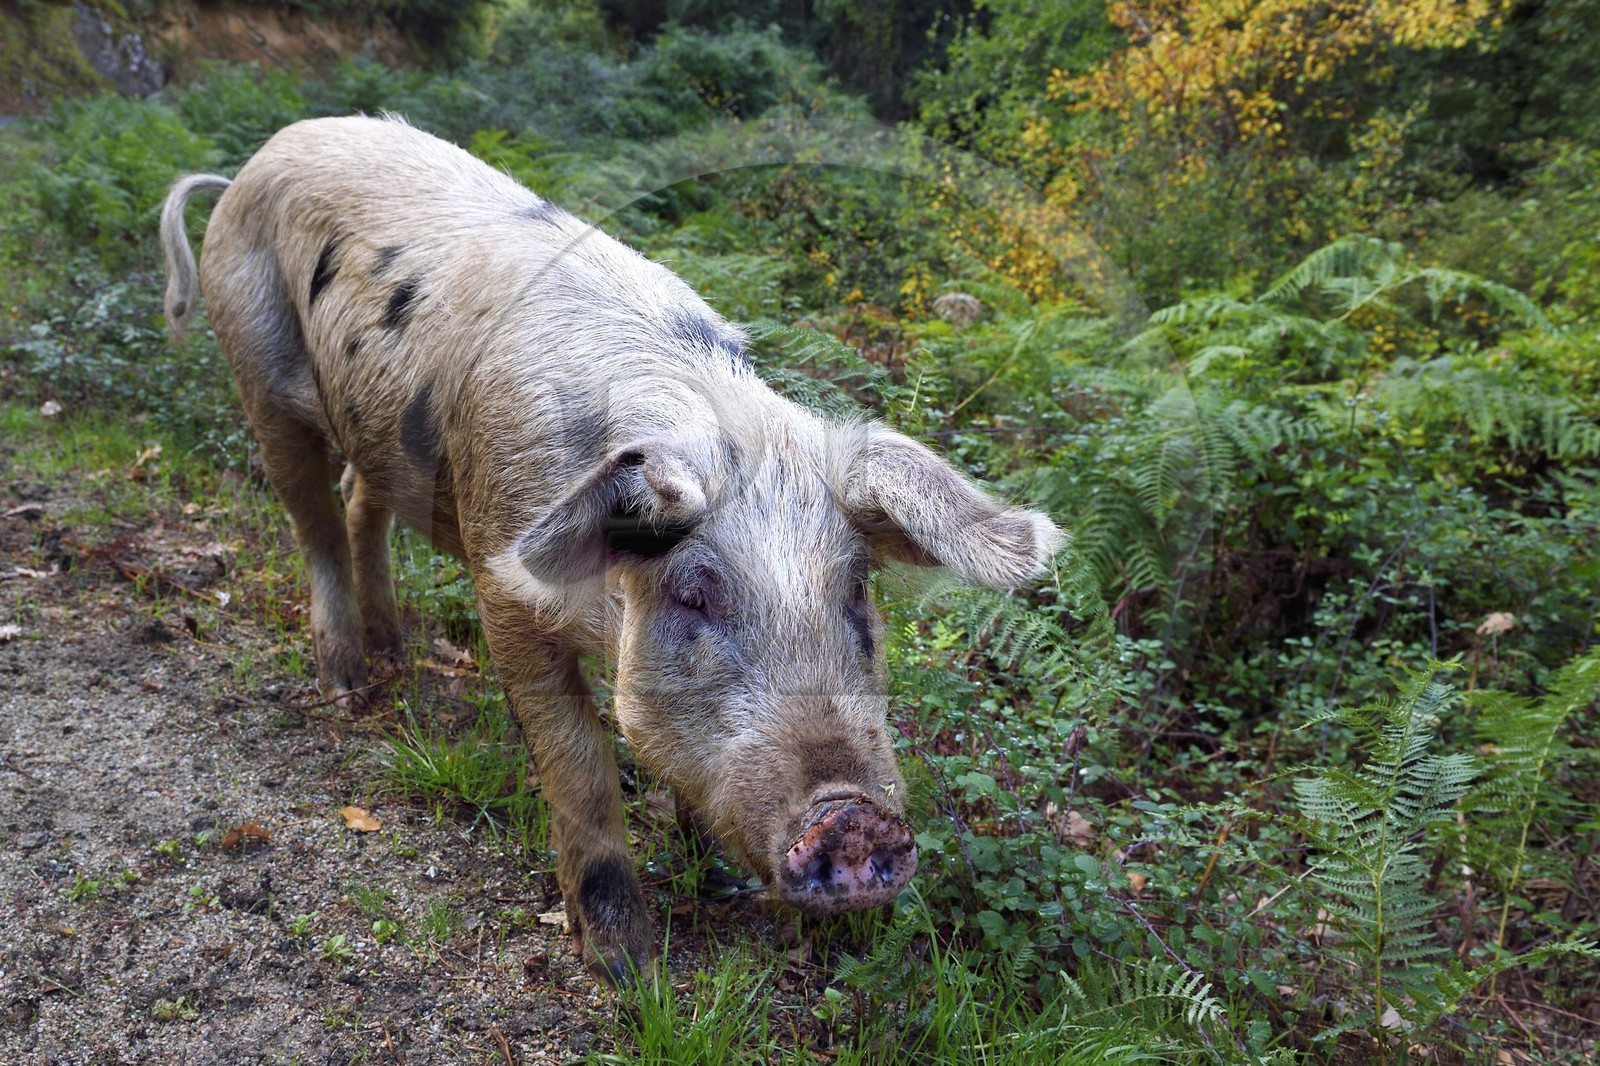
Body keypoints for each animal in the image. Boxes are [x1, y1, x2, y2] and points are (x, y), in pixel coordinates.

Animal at [159, 116, 1064, 982]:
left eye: (855, 593)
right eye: (694, 593)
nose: (853, 817)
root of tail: (252, 165)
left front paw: (720, 884)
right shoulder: (502, 582)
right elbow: (580, 761)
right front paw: (627, 968)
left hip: (381, 433)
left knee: (360, 505)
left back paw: (394, 655)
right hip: (256, 366)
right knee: (312, 520)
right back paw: (347, 684)